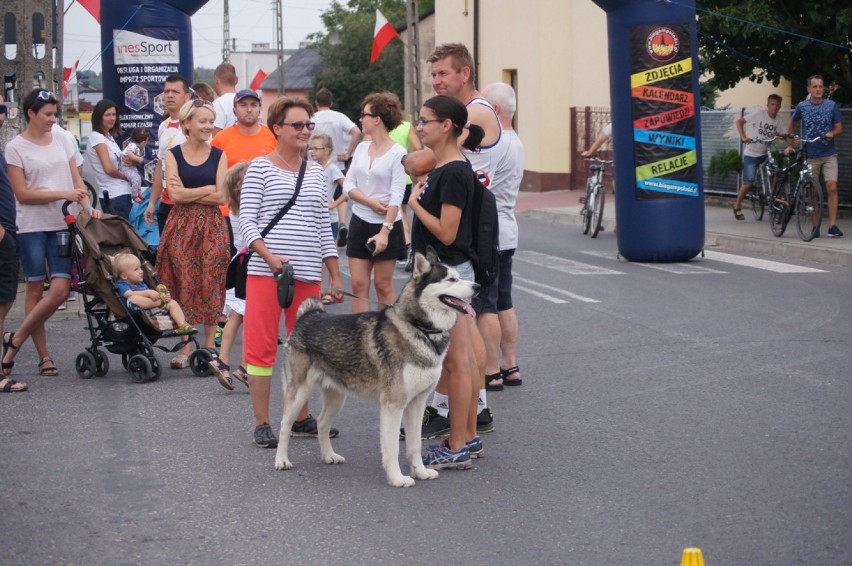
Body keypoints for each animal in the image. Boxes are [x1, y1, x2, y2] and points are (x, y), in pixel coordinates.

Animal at [274, 250, 480, 488]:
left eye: (461, 276)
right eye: (451, 279)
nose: (478, 286)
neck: (419, 327)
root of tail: (309, 315)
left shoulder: (417, 404)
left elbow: (414, 445)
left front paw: (420, 472)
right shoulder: (393, 405)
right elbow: (392, 448)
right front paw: (397, 478)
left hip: (337, 397)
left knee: (322, 423)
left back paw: (329, 456)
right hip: (298, 393)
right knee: (284, 425)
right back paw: (281, 460)